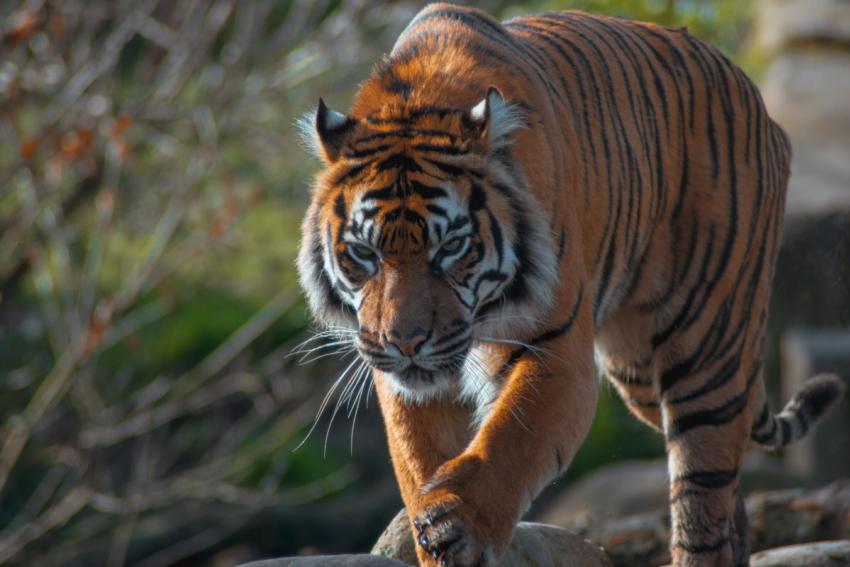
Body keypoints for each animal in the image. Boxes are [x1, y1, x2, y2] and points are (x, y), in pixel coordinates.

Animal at [296, 4, 846, 566]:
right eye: (364, 253)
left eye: (450, 247)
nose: (404, 343)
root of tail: (754, 95)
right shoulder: (404, 381)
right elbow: (417, 459)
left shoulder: (556, 350)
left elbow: (511, 440)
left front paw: (456, 523)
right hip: (638, 372)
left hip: (706, 348)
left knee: (703, 495)